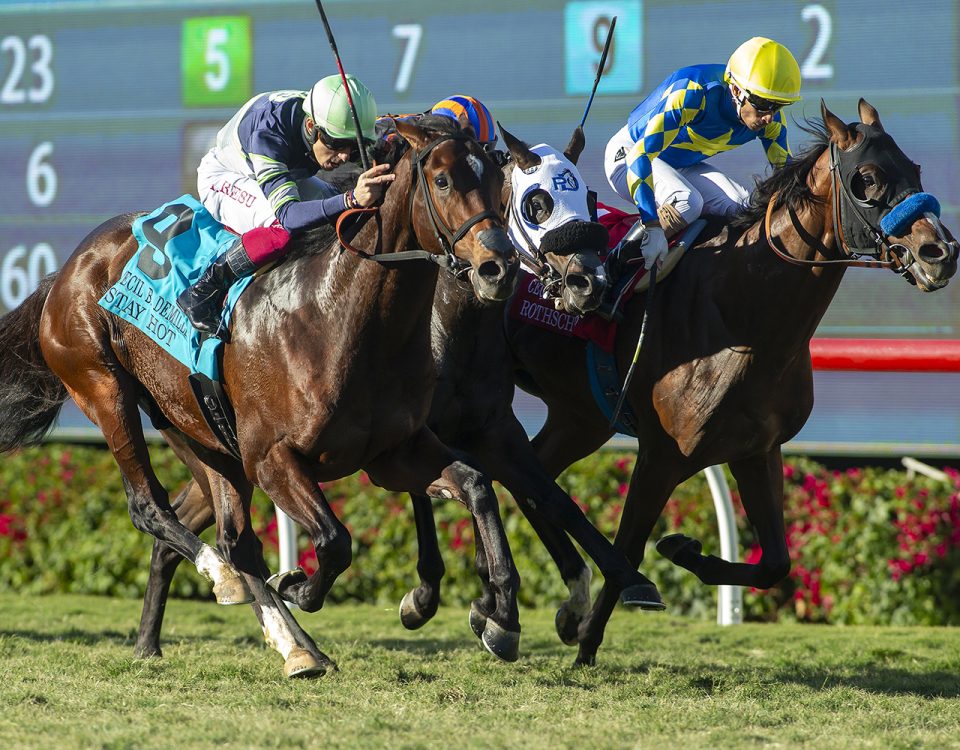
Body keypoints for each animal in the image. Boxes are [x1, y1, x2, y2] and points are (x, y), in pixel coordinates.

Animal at [0, 117, 528, 676]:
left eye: (499, 180)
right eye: (444, 180)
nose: (499, 267)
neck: (336, 316)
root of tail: (68, 269)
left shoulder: (392, 452)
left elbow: (477, 486)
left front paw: (501, 618)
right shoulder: (272, 457)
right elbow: (335, 542)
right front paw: (296, 583)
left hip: (195, 428)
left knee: (235, 538)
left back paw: (288, 646)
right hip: (103, 388)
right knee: (153, 510)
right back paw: (229, 585)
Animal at [506, 101, 956, 668]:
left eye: (915, 170)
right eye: (868, 178)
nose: (941, 251)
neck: (743, 313)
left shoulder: (756, 448)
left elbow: (776, 563)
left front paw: (682, 549)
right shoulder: (661, 455)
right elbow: (628, 546)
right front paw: (589, 641)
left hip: (581, 416)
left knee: (533, 475)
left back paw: (566, 603)